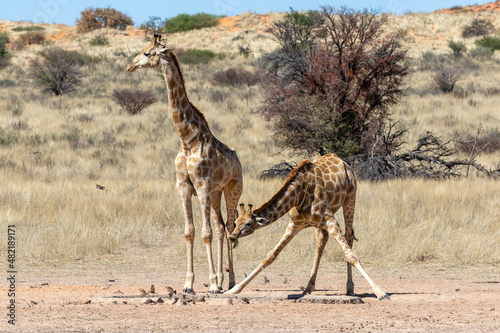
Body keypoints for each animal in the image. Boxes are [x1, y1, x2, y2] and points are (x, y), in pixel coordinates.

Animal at [125, 35, 242, 292]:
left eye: (147, 53)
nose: (130, 65)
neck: (187, 139)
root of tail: (237, 159)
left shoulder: (202, 185)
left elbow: (205, 233)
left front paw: (211, 284)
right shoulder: (184, 186)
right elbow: (190, 232)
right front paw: (188, 283)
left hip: (232, 189)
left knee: (229, 228)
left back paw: (229, 281)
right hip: (216, 193)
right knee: (220, 228)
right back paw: (222, 279)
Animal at [225, 152, 388, 298]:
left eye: (248, 223)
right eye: (235, 222)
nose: (232, 236)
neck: (299, 195)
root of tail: (343, 162)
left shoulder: (330, 219)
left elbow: (351, 256)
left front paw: (380, 291)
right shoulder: (295, 223)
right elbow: (270, 256)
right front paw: (234, 289)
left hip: (350, 197)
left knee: (348, 238)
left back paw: (349, 288)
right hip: (320, 223)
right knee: (321, 242)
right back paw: (308, 288)